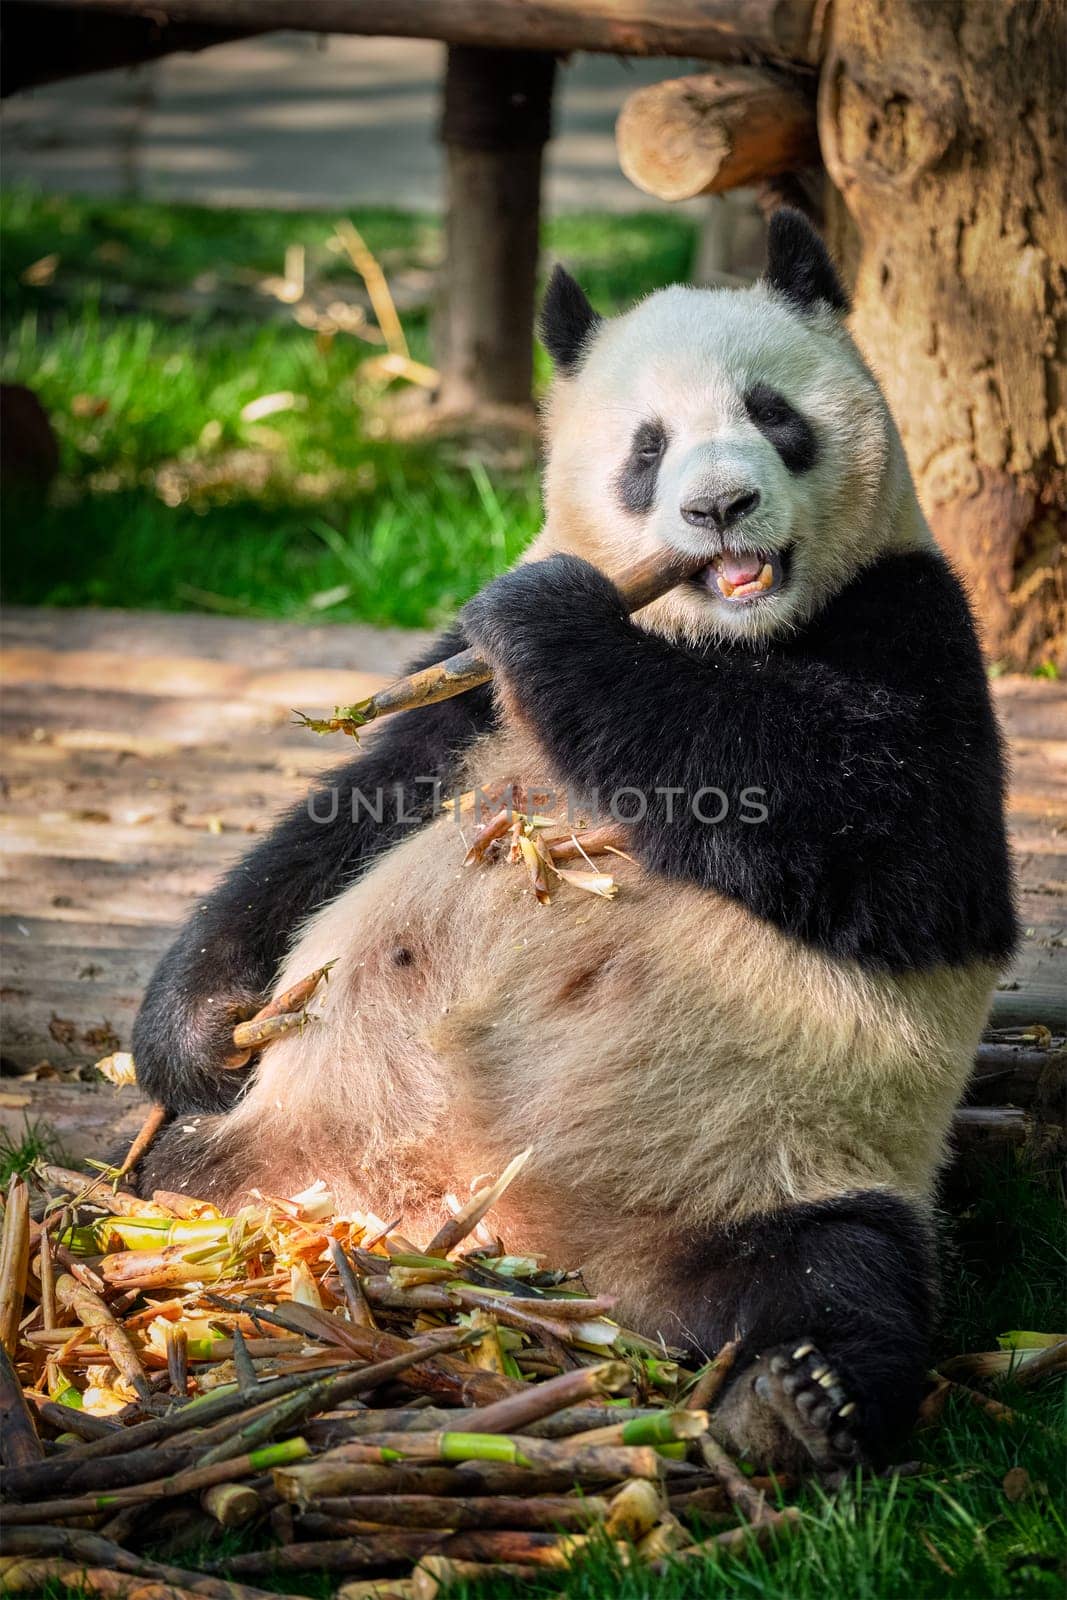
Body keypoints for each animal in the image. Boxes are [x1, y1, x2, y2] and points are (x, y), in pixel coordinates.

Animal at [135, 212, 1017, 1472]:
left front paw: (557, 617)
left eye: (771, 413)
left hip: (782, 1160)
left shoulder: (910, 622)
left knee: (843, 1272)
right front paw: (201, 1029)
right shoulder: (461, 697)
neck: (717, 628)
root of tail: (490, 1234)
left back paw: (793, 1400)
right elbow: (345, 812)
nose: (718, 508)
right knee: (165, 1171)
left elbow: (884, 838)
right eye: (646, 448)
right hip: (268, 1153)